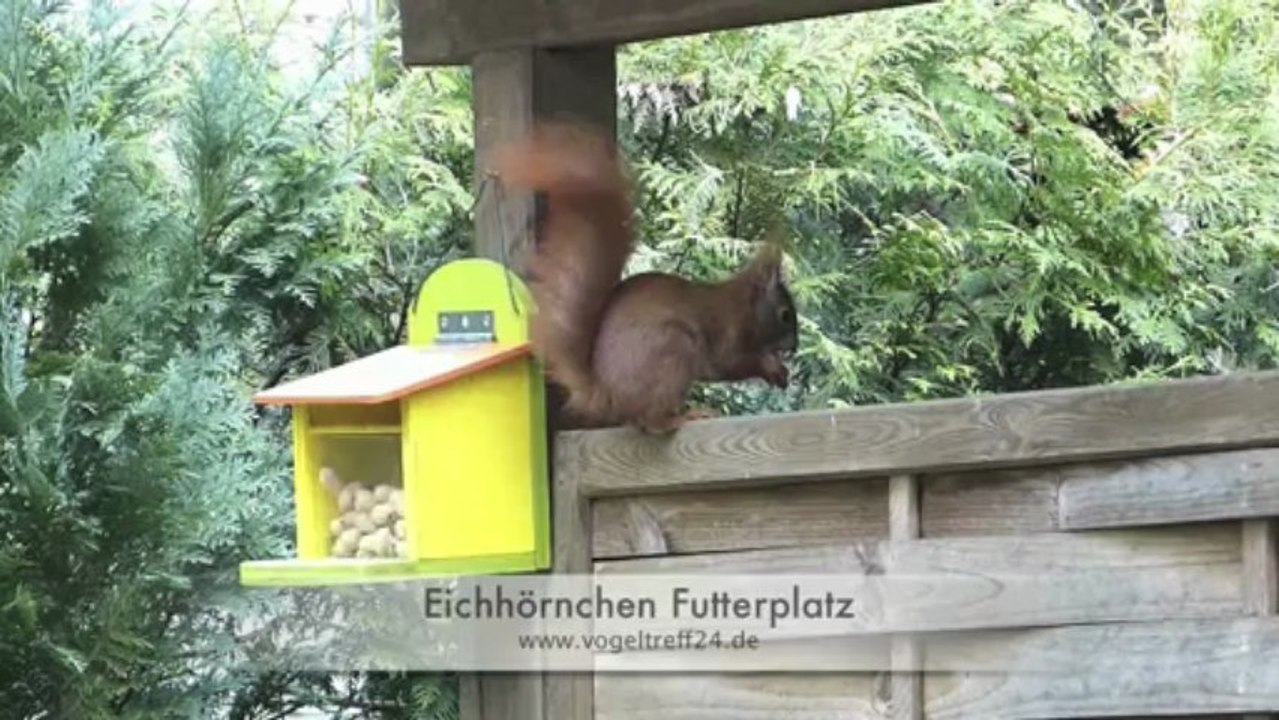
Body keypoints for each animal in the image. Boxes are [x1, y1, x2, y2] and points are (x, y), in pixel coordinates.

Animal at [489, 121, 798, 434]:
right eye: (785, 315)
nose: (795, 348)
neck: (743, 305)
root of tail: (608, 397)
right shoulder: (727, 331)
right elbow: (733, 362)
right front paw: (771, 367)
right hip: (674, 348)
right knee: (652, 421)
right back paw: (684, 416)